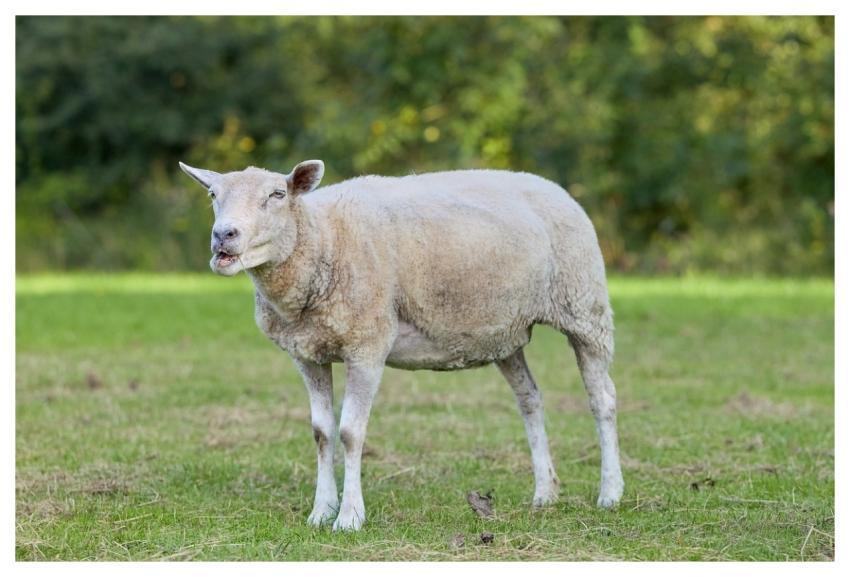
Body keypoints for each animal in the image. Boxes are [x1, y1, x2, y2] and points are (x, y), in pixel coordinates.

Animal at [179, 159, 624, 531]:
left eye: (277, 195)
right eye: (213, 195)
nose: (224, 235)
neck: (323, 237)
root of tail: (553, 187)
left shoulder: (368, 344)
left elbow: (350, 433)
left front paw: (349, 517)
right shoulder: (307, 353)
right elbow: (321, 433)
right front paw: (321, 511)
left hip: (584, 306)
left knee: (601, 398)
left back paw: (610, 492)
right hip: (505, 332)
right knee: (530, 399)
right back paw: (545, 492)